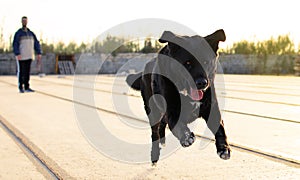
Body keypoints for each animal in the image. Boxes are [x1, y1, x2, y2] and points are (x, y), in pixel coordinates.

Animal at [125, 29, 231, 166]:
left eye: (206, 62)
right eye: (187, 63)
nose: (202, 83)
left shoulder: (212, 110)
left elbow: (220, 128)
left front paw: (224, 148)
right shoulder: (172, 112)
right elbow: (178, 126)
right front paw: (186, 137)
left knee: (161, 125)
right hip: (153, 111)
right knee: (154, 133)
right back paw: (155, 155)